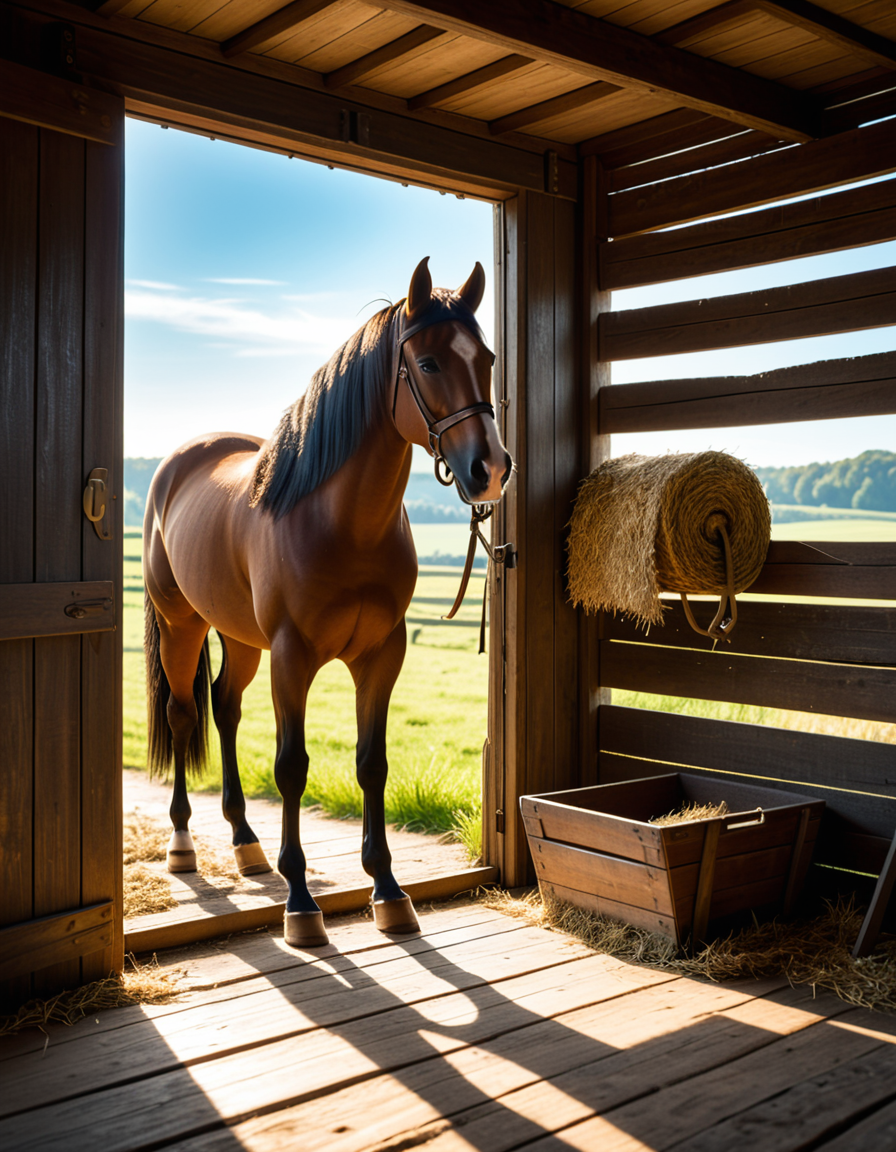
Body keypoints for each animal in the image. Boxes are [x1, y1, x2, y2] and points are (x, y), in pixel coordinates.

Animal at [143, 257, 513, 948]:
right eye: (428, 363)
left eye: (488, 359)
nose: (491, 470)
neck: (341, 521)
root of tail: (177, 463)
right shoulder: (293, 657)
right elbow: (292, 766)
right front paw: (300, 903)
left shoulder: (381, 655)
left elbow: (373, 765)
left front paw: (389, 891)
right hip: (183, 626)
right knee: (184, 715)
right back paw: (184, 844)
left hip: (240, 639)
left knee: (225, 708)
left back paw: (246, 843)